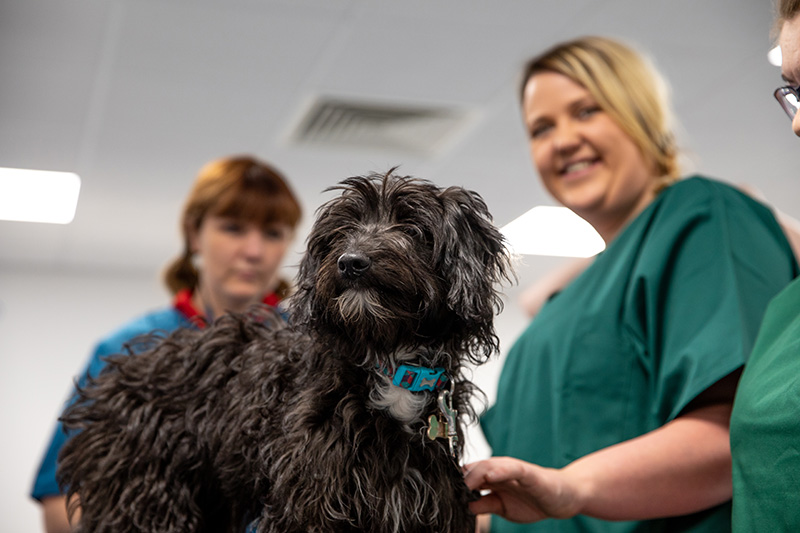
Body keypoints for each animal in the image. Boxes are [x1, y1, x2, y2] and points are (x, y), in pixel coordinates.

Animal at [57, 170, 512, 532]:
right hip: (145, 494)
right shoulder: (310, 500)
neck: (389, 362)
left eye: (413, 227)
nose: (351, 262)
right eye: (341, 233)